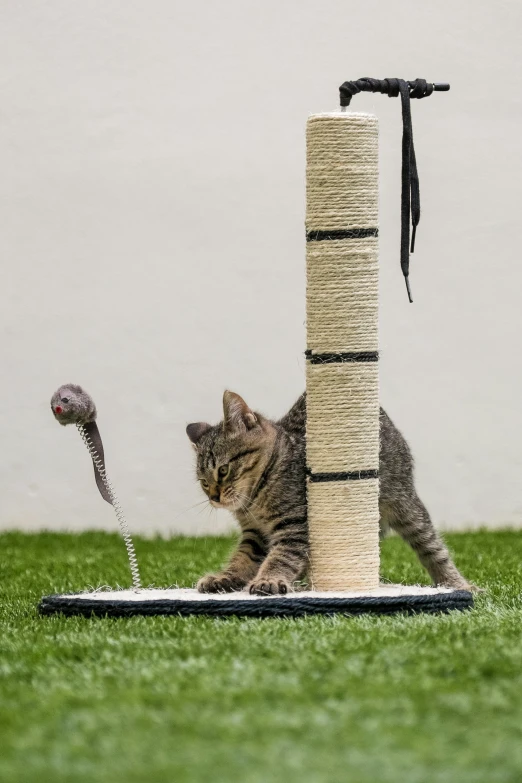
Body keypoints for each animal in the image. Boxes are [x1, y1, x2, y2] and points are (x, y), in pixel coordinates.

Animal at [185, 388, 470, 596]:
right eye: (203, 482)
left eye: (223, 470)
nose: (214, 497)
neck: (254, 500)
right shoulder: (254, 534)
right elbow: (242, 558)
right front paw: (225, 577)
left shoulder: (294, 524)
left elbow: (282, 556)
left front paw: (269, 578)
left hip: (405, 504)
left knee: (434, 548)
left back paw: (459, 585)